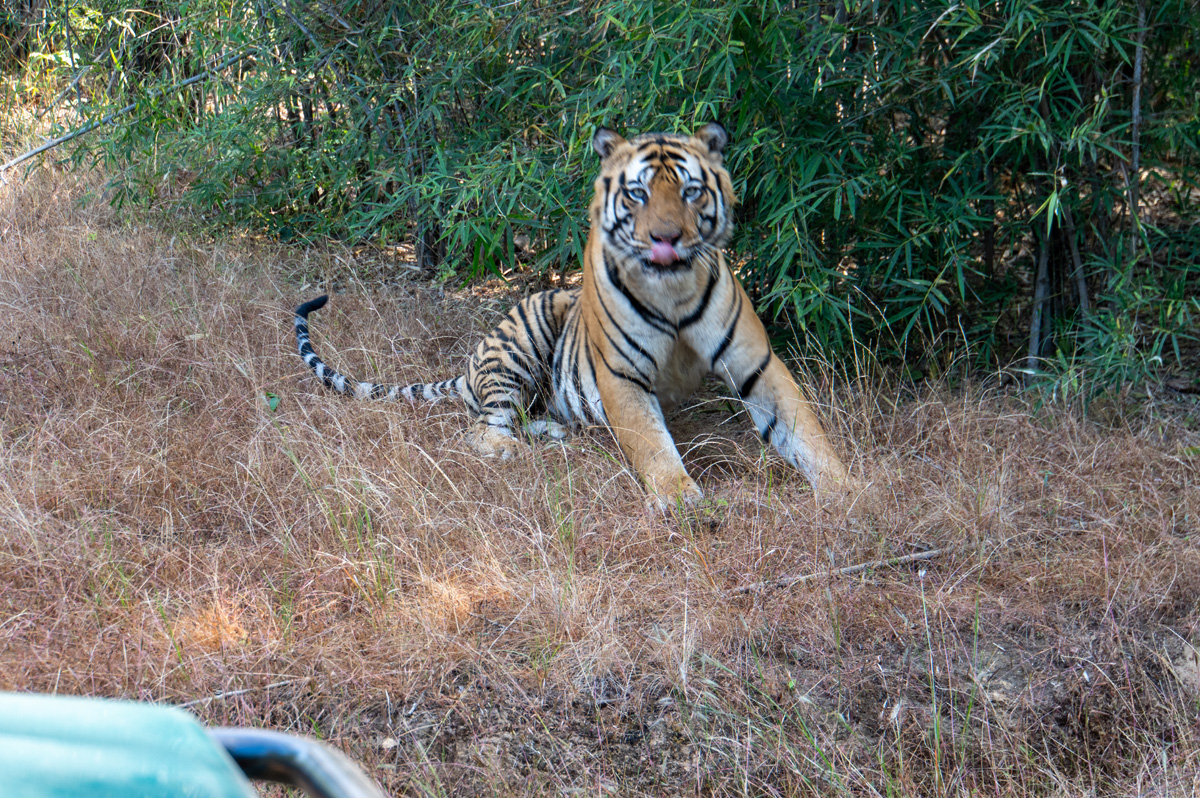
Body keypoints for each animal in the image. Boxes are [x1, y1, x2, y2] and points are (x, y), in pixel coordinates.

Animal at [294, 122, 851, 506]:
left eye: (691, 191)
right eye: (637, 193)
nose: (666, 238)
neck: (672, 292)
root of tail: (469, 366)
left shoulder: (755, 363)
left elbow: (805, 431)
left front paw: (851, 492)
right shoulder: (622, 377)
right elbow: (652, 443)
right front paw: (681, 500)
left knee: (521, 418)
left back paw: (557, 434)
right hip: (527, 334)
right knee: (481, 429)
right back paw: (514, 449)